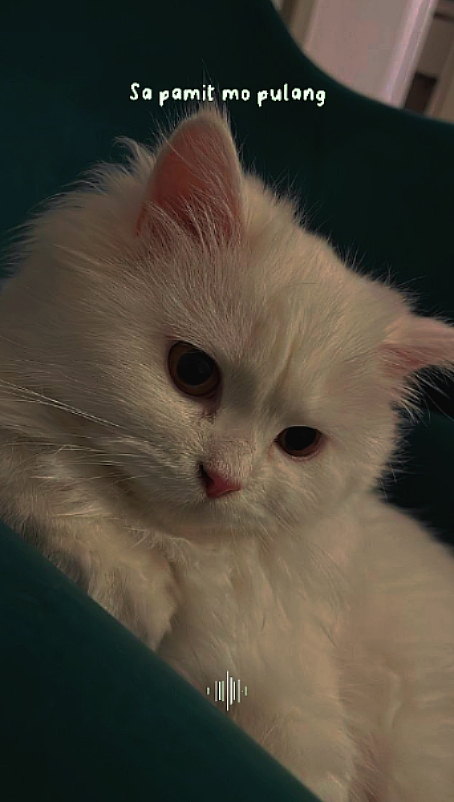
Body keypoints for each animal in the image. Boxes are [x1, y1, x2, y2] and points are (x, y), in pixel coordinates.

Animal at [0, 104, 453, 802]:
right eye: (192, 372)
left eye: (300, 442)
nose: (222, 480)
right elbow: (51, 494)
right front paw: (120, 583)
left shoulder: (299, 712)